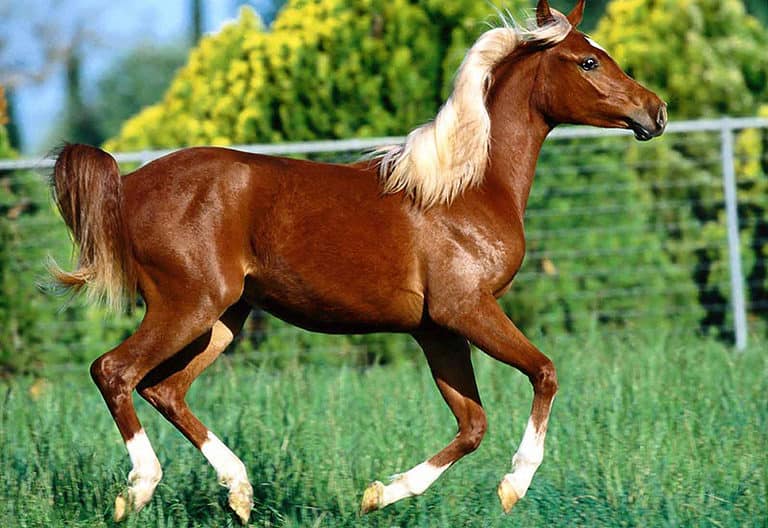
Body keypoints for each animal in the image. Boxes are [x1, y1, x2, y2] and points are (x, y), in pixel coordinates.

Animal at [50, 0, 667, 523]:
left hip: (224, 320)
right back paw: (139, 490)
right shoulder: (467, 309)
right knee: (115, 371)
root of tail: (128, 185)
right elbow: (544, 373)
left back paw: (240, 491)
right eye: (588, 60)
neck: (465, 188)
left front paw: (378, 494)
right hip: (189, 305)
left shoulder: (437, 330)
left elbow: (472, 425)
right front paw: (513, 486)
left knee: (165, 389)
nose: (655, 111)